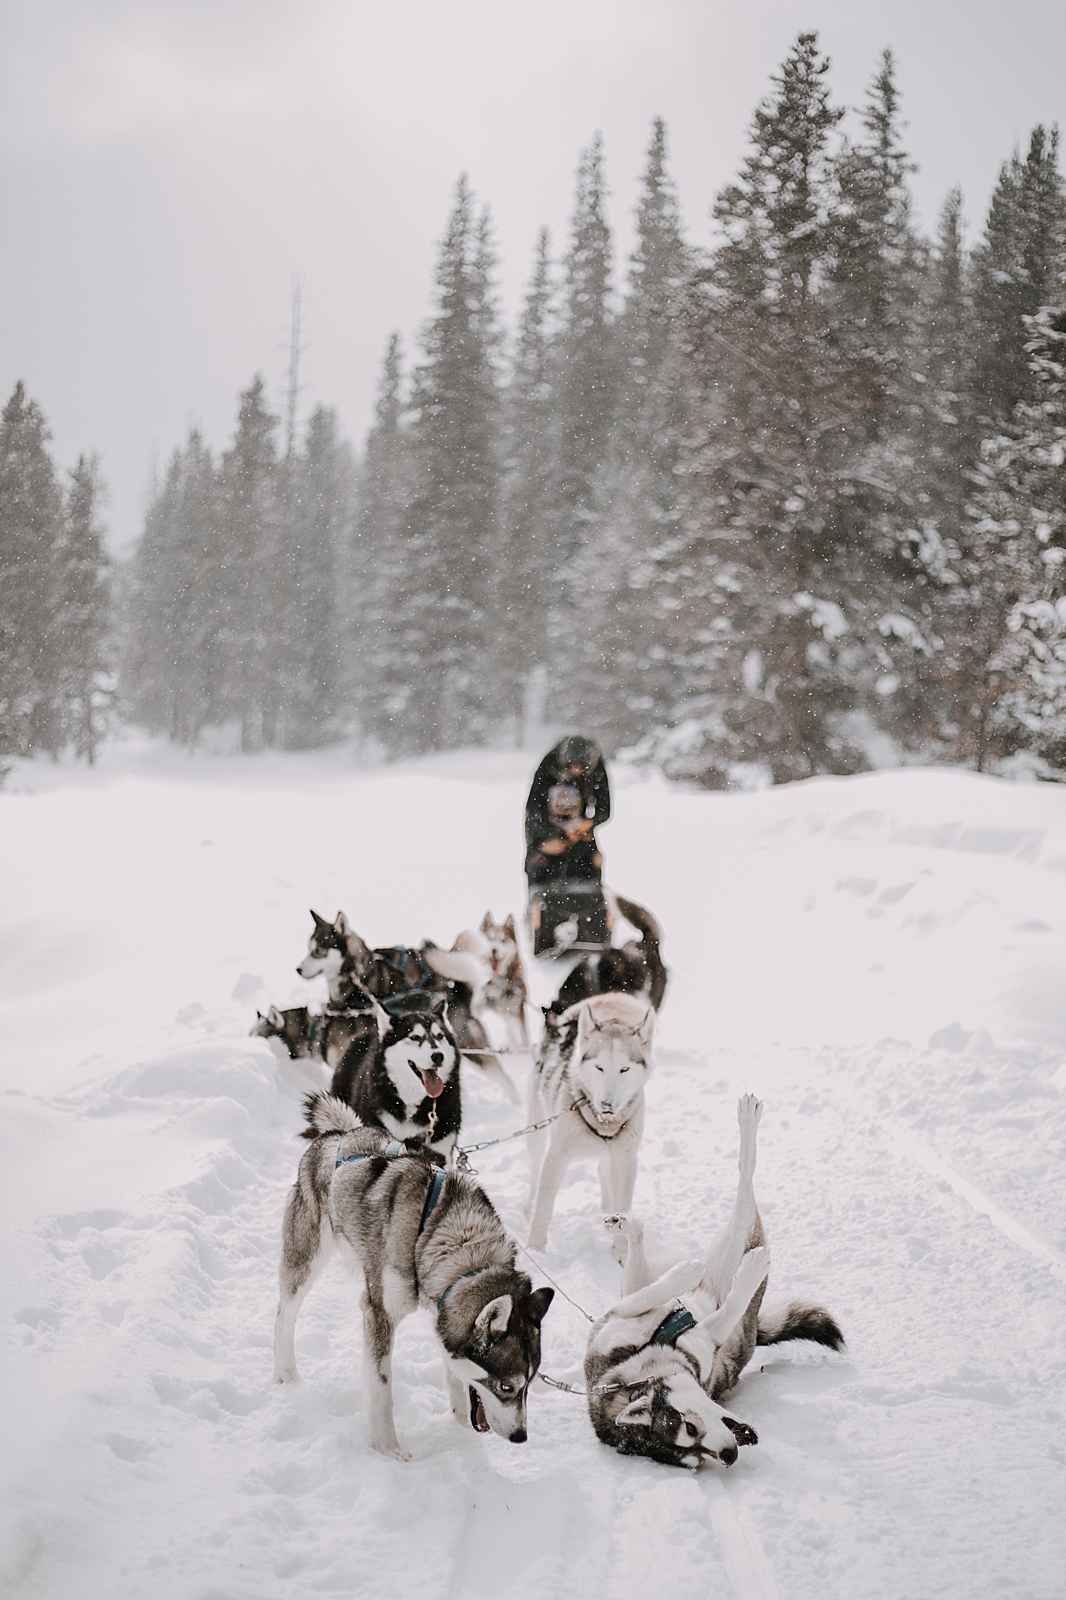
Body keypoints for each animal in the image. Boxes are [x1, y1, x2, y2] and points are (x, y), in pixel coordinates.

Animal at [273, 1094, 550, 1459]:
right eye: (507, 1386)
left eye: (529, 1385)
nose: (521, 1437)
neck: (443, 1237)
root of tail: (340, 1135)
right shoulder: (378, 1312)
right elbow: (381, 1388)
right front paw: (388, 1449)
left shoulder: (443, 1308)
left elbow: (455, 1379)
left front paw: (460, 1430)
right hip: (305, 1259)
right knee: (284, 1315)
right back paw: (285, 1374)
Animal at [296, 908, 515, 1107]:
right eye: (308, 949)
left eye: (318, 951)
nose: (298, 969)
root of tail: (457, 992)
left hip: (474, 1049)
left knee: (505, 1078)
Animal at [528, 992, 653, 1254]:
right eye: (599, 1067)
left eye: (624, 1069)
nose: (607, 1104)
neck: (604, 1123)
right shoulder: (558, 1155)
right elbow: (544, 1206)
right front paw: (534, 1248)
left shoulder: (625, 1158)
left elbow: (622, 1201)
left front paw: (621, 1252)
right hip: (536, 1132)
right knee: (534, 1171)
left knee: (604, 1171)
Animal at [582, 1094, 838, 1465]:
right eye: (694, 1458)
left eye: (689, 1427)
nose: (728, 1455)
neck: (644, 1368)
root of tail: (754, 1328)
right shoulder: (705, 1335)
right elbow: (730, 1307)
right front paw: (748, 1275)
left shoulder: (614, 1319)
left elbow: (643, 1299)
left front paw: (681, 1273)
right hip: (734, 1256)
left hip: (651, 1279)